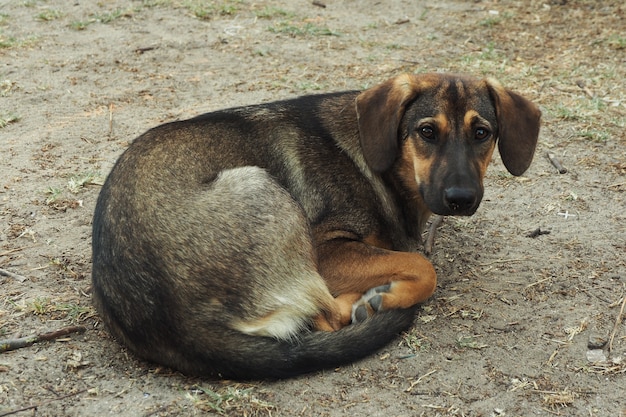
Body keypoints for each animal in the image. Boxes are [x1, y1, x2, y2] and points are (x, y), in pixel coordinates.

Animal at [90, 73, 540, 378]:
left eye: (482, 133)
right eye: (426, 132)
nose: (461, 199)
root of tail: (178, 326)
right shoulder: (327, 250)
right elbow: (423, 266)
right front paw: (386, 296)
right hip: (259, 185)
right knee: (323, 315)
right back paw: (365, 302)